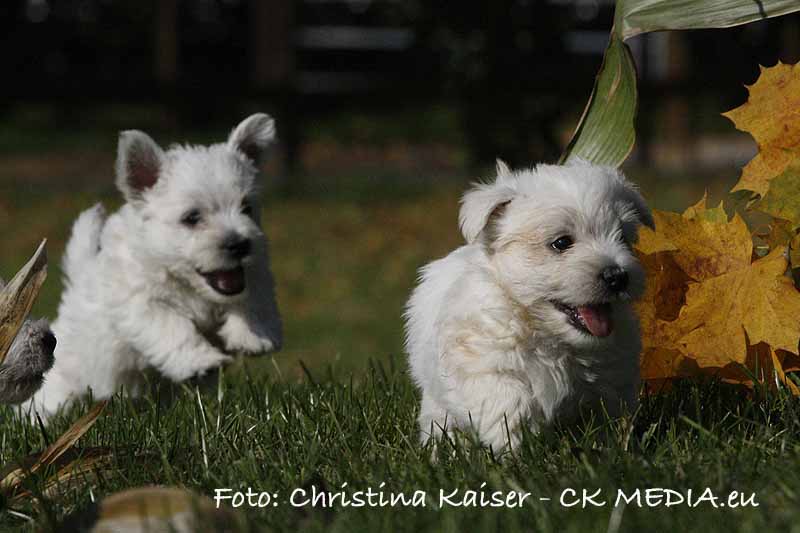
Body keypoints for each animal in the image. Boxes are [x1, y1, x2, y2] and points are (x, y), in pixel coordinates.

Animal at [27, 113, 282, 420]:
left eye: (247, 208)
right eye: (192, 217)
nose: (239, 244)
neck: (189, 284)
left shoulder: (255, 273)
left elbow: (254, 299)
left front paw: (256, 336)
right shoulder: (141, 302)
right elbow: (173, 326)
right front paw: (201, 361)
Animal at [404, 160, 652, 450]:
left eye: (623, 238)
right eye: (561, 243)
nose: (617, 276)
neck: (549, 335)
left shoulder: (615, 375)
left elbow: (610, 413)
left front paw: (614, 447)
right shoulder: (487, 364)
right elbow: (509, 405)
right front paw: (516, 452)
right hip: (437, 405)